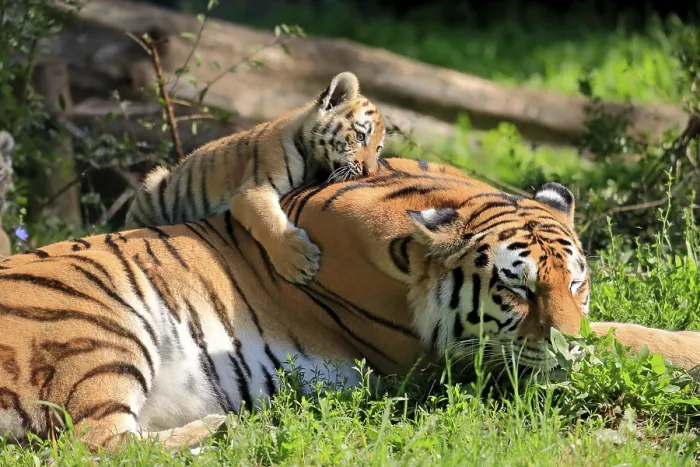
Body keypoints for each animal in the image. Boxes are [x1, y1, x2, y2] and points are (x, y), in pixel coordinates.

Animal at [1, 157, 698, 452]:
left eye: (575, 282)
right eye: (517, 287)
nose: (564, 346)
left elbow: (619, 328)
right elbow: (624, 336)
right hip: (95, 326)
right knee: (92, 445)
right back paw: (237, 428)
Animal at [124, 71, 385, 285]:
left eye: (379, 148)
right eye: (360, 136)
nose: (370, 172)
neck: (315, 162)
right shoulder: (254, 189)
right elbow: (267, 219)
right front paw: (297, 260)